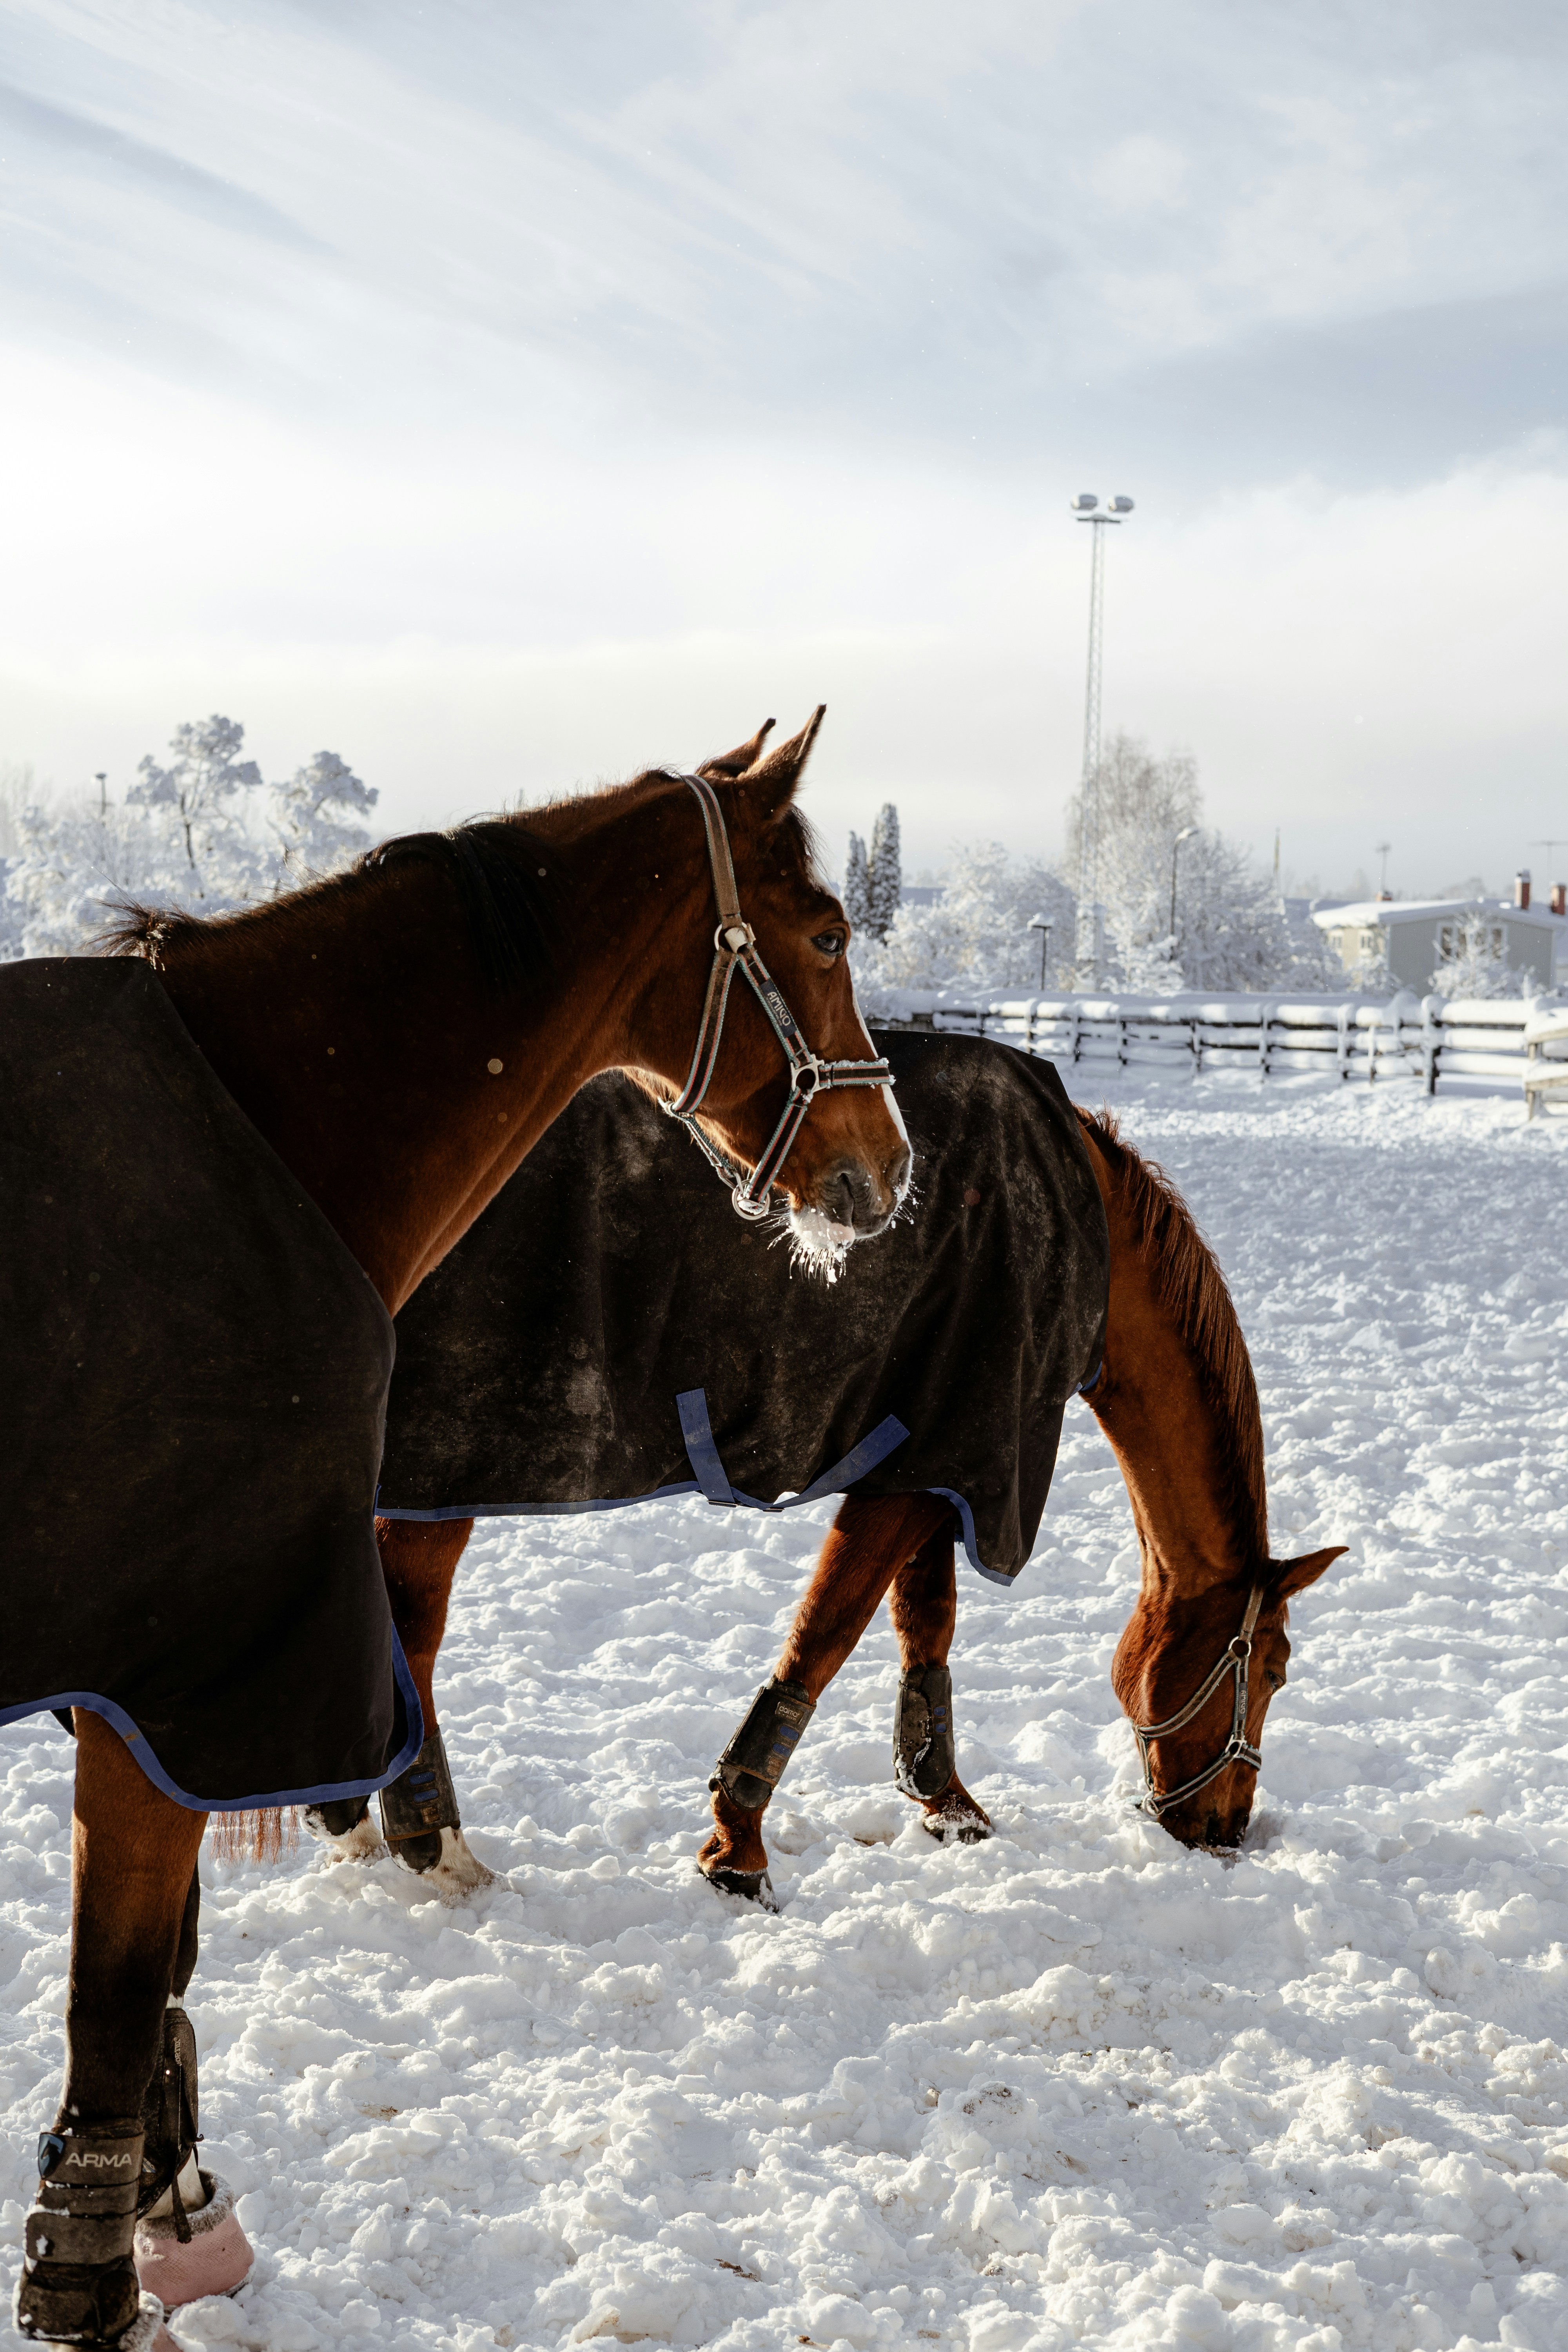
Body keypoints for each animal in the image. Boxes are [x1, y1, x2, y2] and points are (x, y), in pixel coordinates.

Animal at [4, 710, 907, 2351]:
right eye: (826, 931)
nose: (890, 1166)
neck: (265, 1131)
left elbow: (158, 1977)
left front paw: (175, 2206)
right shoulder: (177, 1684)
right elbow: (118, 1989)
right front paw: (103, 2271)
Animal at [353, 1033, 1343, 1910]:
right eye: (1272, 1671)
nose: (1226, 1829)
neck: (1077, 1230)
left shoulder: (936, 1453)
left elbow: (924, 1623)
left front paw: (945, 1802)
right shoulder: (930, 1455)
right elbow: (827, 1634)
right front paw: (737, 1844)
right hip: (444, 1473)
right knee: (409, 1628)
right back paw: (429, 1840)